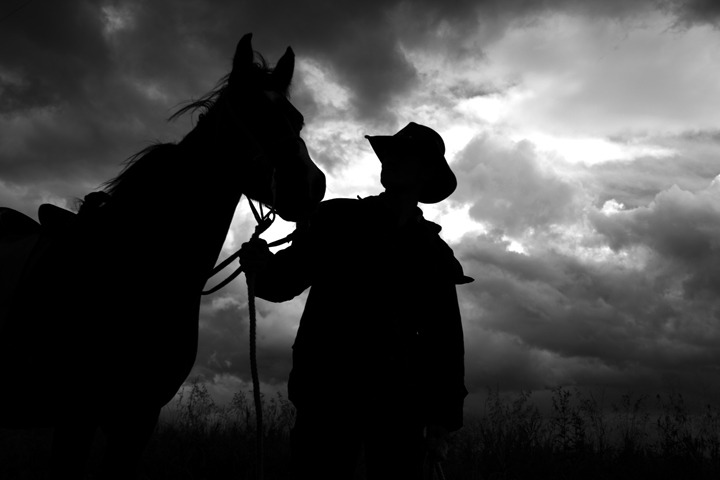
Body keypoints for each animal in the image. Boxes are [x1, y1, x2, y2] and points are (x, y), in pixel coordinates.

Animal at [0, 31, 326, 478]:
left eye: (297, 119)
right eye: (249, 111)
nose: (312, 186)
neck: (136, 270)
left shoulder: (138, 420)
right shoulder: (75, 415)